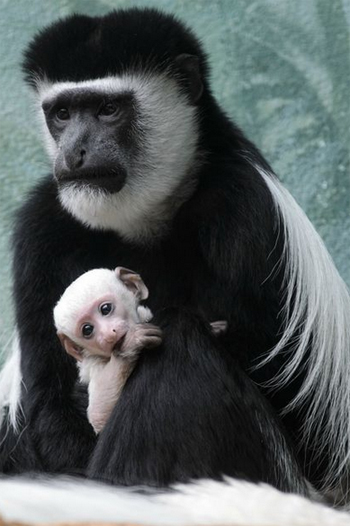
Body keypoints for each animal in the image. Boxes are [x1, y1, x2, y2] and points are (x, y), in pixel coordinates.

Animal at [0, 8, 348, 502]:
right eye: (62, 114)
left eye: (108, 110)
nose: (75, 153)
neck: (143, 221)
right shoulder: (42, 226)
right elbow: (50, 400)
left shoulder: (245, 207)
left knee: (182, 346)